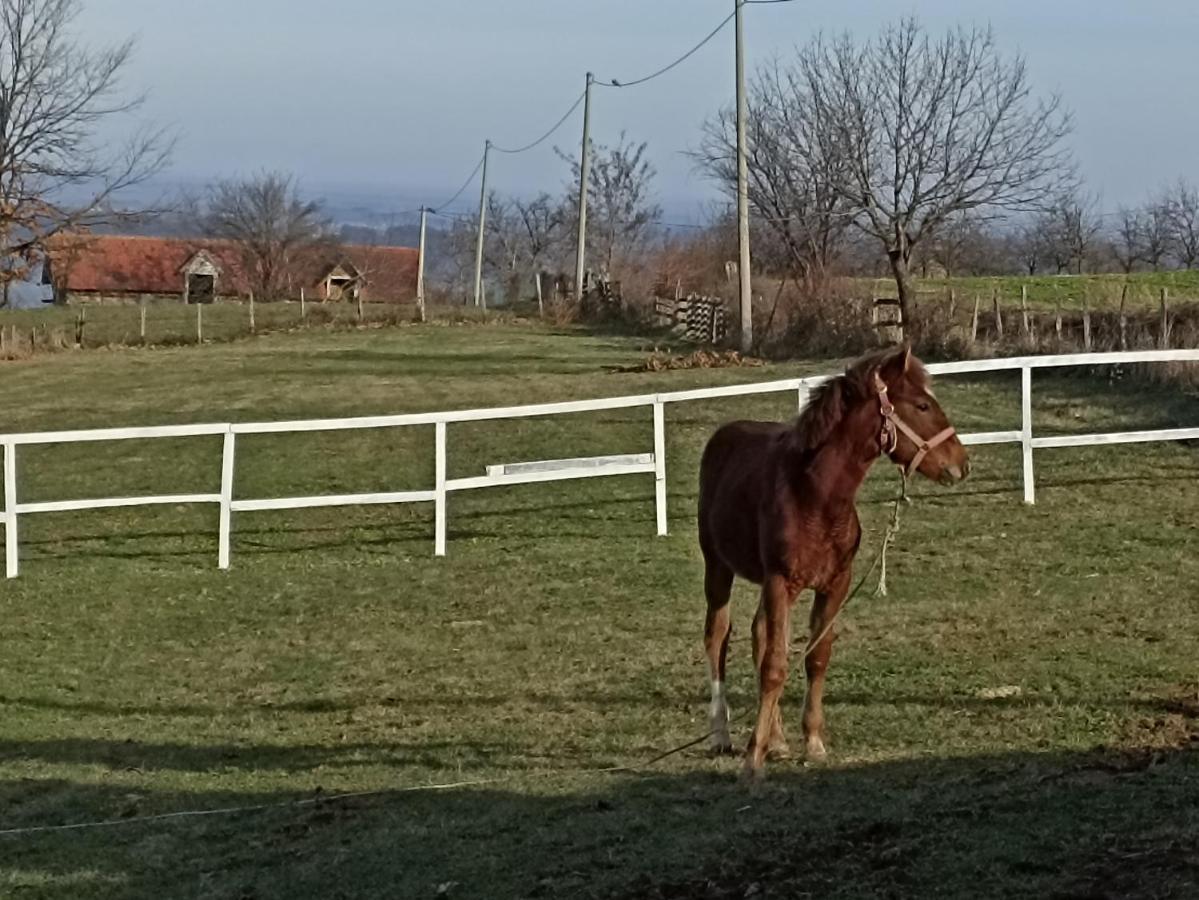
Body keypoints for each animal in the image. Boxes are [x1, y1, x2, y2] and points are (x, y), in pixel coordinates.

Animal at [700, 345, 968, 776]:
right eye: (923, 405)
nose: (962, 463)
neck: (815, 497)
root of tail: (725, 434)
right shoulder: (780, 581)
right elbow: (775, 666)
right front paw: (753, 758)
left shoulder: (835, 583)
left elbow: (815, 657)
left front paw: (811, 742)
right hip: (718, 568)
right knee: (718, 637)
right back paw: (722, 734)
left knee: (759, 635)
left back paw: (777, 740)